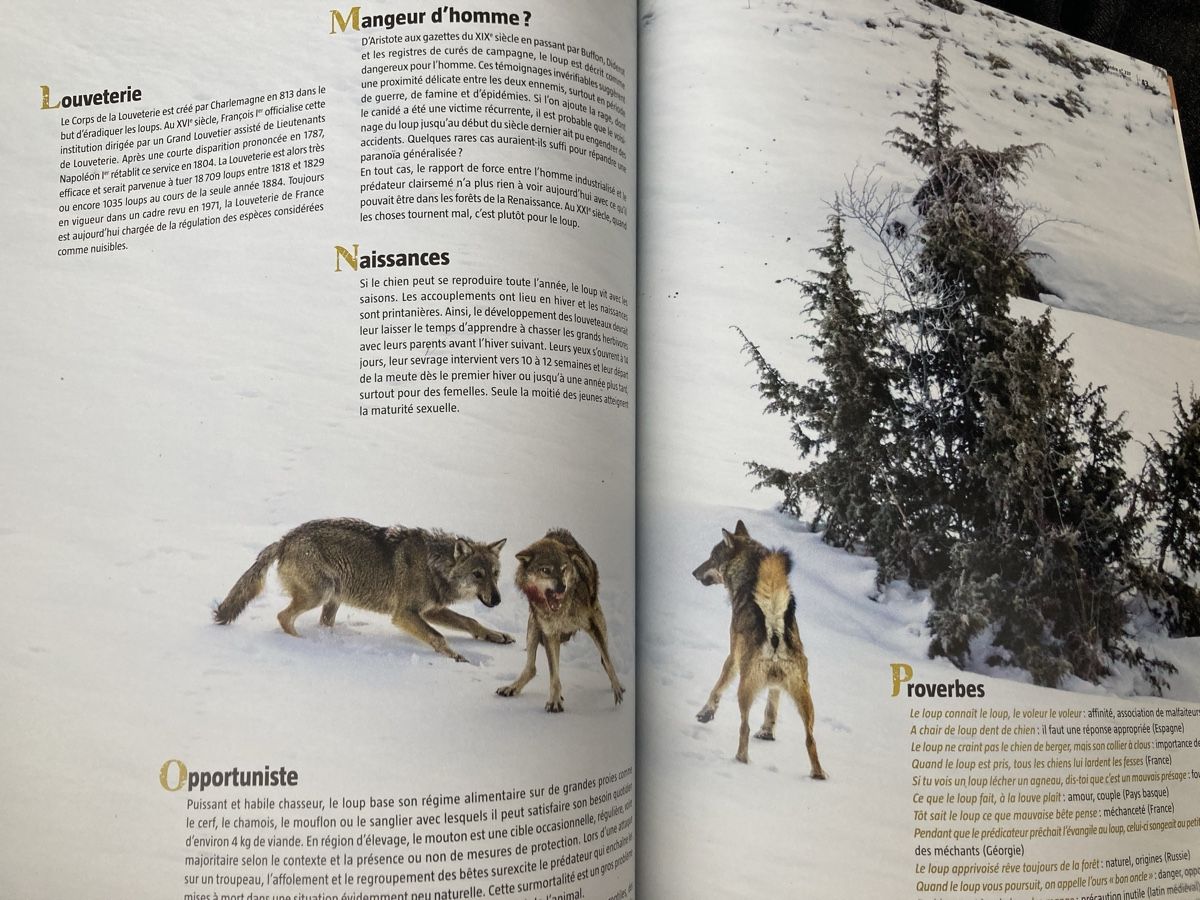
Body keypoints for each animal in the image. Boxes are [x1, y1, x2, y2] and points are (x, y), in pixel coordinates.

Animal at [213, 518, 511, 661]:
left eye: (495, 574)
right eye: (477, 575)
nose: (497, 600)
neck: (433, 564)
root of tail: (284, 539)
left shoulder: (431, 610)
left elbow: (471, 621)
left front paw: (497, 636)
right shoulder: (404, 614)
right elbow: (437, 637)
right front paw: (458, 658)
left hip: (333, 598)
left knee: (319, 622)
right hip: (321, 593)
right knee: (283, 617)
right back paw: (304, 645)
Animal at [496, 529, 624, 712]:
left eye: (564, 569)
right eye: (545, 570)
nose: (562, 587)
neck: (562, 610)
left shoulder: (593, 623)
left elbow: (608, 660)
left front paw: (617, 690)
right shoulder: (550, 633)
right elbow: (554, 675)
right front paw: (555, 701)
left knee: (603, 658)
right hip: (533, 624)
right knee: (531, 668)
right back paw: (511, 687)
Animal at [691, 520, 825, 777]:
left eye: (712, 558)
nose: (693, 572)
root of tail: (775, 634)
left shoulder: (733, 657)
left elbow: (717, 688)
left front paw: (705, 713)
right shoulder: (775, 685)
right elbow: (771, 708)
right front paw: (767, 733)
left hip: (744, 690)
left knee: (744, 727)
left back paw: (740, 760)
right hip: (806, 701)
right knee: (811, 740)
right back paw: (818, 776)